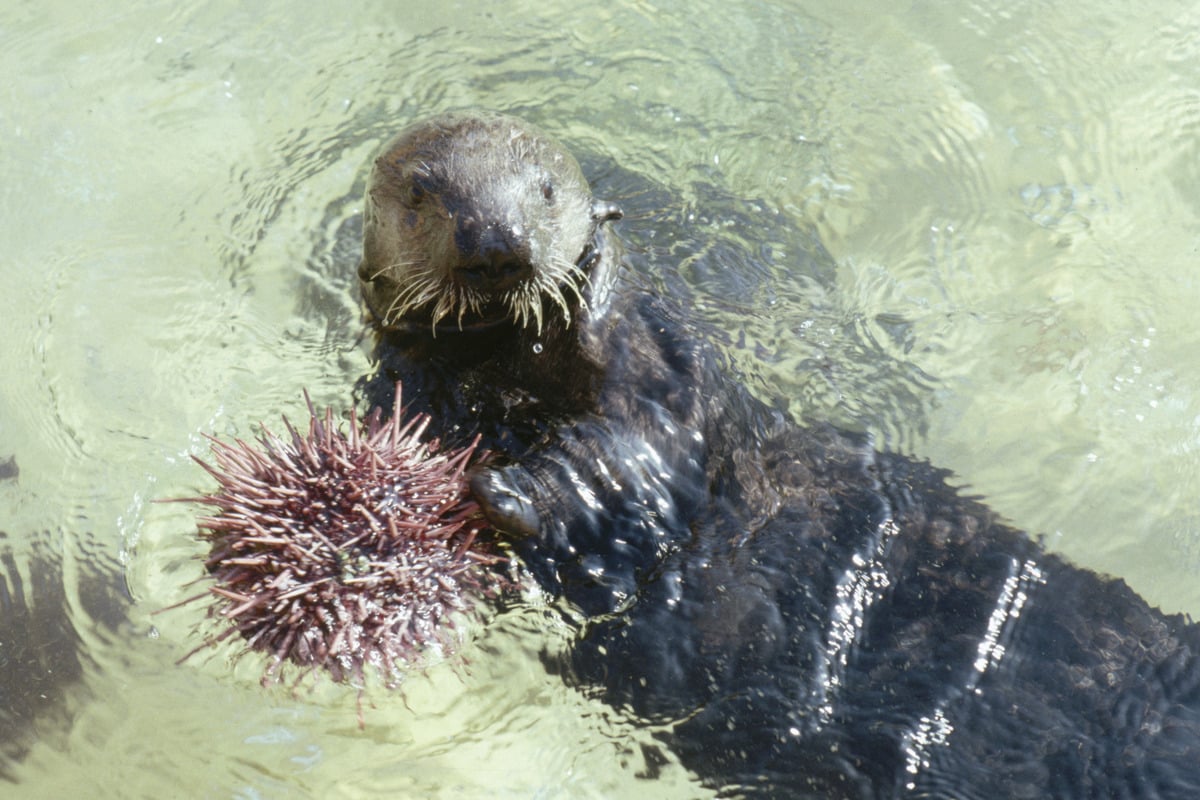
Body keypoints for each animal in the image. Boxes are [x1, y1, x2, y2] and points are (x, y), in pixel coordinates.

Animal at [357, 112, 1200, 798]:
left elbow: (631, 451)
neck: (512, 370)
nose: (496, 244)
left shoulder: (658, 376)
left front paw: (506, 492)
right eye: (423, 193)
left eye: (545, 192)